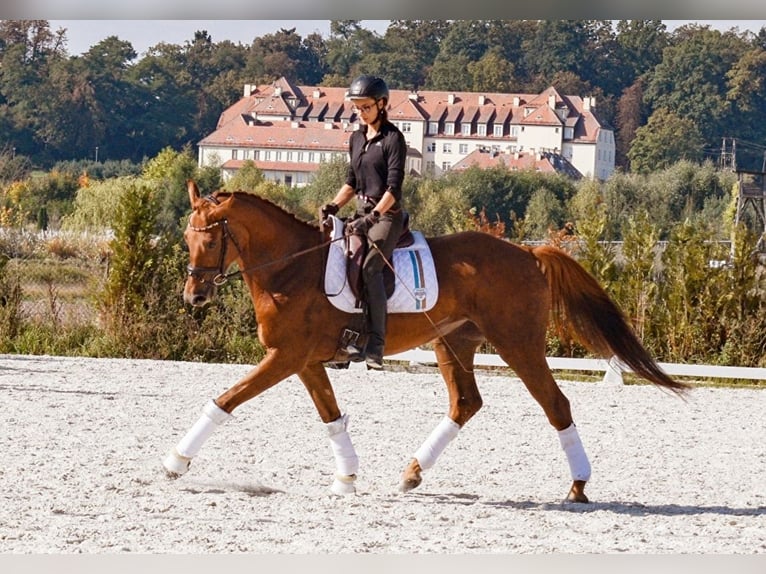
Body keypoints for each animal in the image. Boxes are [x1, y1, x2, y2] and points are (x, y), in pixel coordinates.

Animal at [165, 180, 692, 504]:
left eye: (209, 241)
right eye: (186, 238)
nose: (194, 296)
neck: (291, 267)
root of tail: (527, 253)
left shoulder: (286, 356)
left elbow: (225, 401)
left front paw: (176, 463)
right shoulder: (304, 360)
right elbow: (331, 416)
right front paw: (347, 477)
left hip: (517, 344)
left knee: (555, 404)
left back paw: (578, 487)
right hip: (453, 343)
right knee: (466, 403)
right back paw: (412, 472)